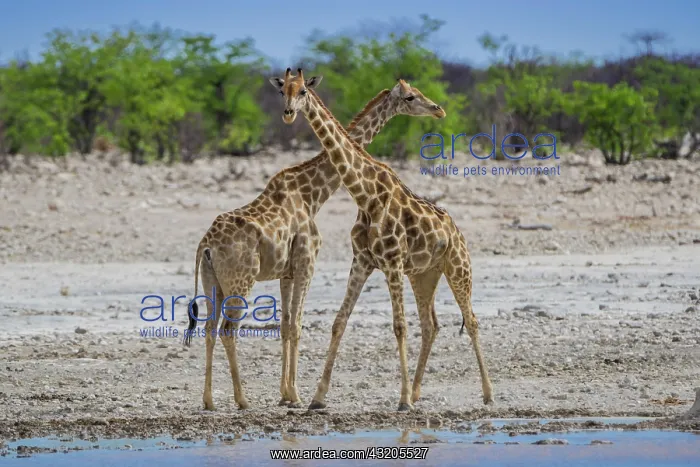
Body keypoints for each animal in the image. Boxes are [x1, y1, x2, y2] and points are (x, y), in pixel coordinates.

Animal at [183, 78, 446, 411]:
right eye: (411, 97)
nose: (438, 109)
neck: (314, 195)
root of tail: (205, 245)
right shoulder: (307, 263)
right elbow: (297, 325)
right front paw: (296, 395)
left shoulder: (287, 272)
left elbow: (286, 326)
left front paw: (285, 394)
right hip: (240, 281)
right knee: (228, 330)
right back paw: (242, 400)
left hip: (212, 282)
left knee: (208, 329)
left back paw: (208, 401)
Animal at [270, 68, 494, 412]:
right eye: (284, 91)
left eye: (304, 91)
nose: (288, 113)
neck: (365, 195)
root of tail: (457, 231)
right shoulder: (362, 261)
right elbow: (339, 322)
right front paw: (317, 397)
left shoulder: (391, 262)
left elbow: (399, 327)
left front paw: (402, 401)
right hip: (424, 275)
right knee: (431, 325)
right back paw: (417, 391)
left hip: (458, 268)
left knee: (470, 321)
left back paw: (487, 393)